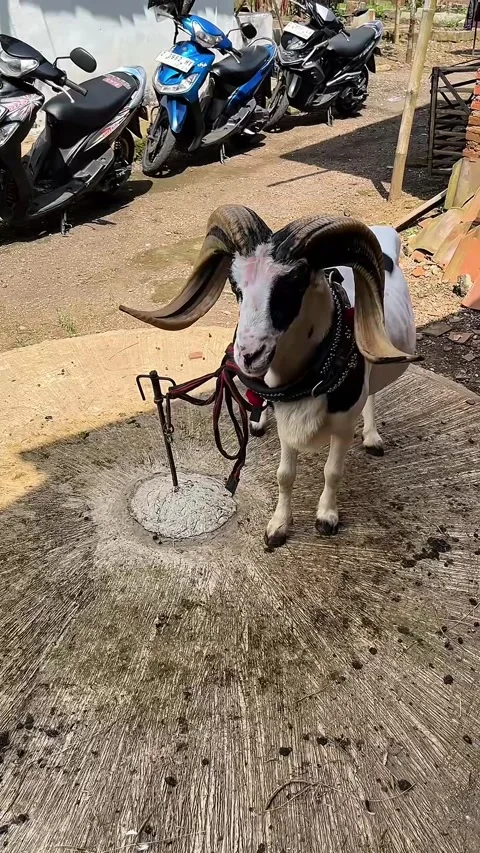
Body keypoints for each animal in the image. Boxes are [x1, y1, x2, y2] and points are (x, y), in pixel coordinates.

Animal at [121, 206, 419, 547]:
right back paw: (257, 420)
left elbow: (332, 472)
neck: (311, 376)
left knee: (372, 393)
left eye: (294, 282)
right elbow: (284, 475)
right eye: (235, 284)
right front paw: (278, 527)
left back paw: (371, 437)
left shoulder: (343, 425)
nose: (248, 354)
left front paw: (326, 518)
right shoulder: (286, 422)